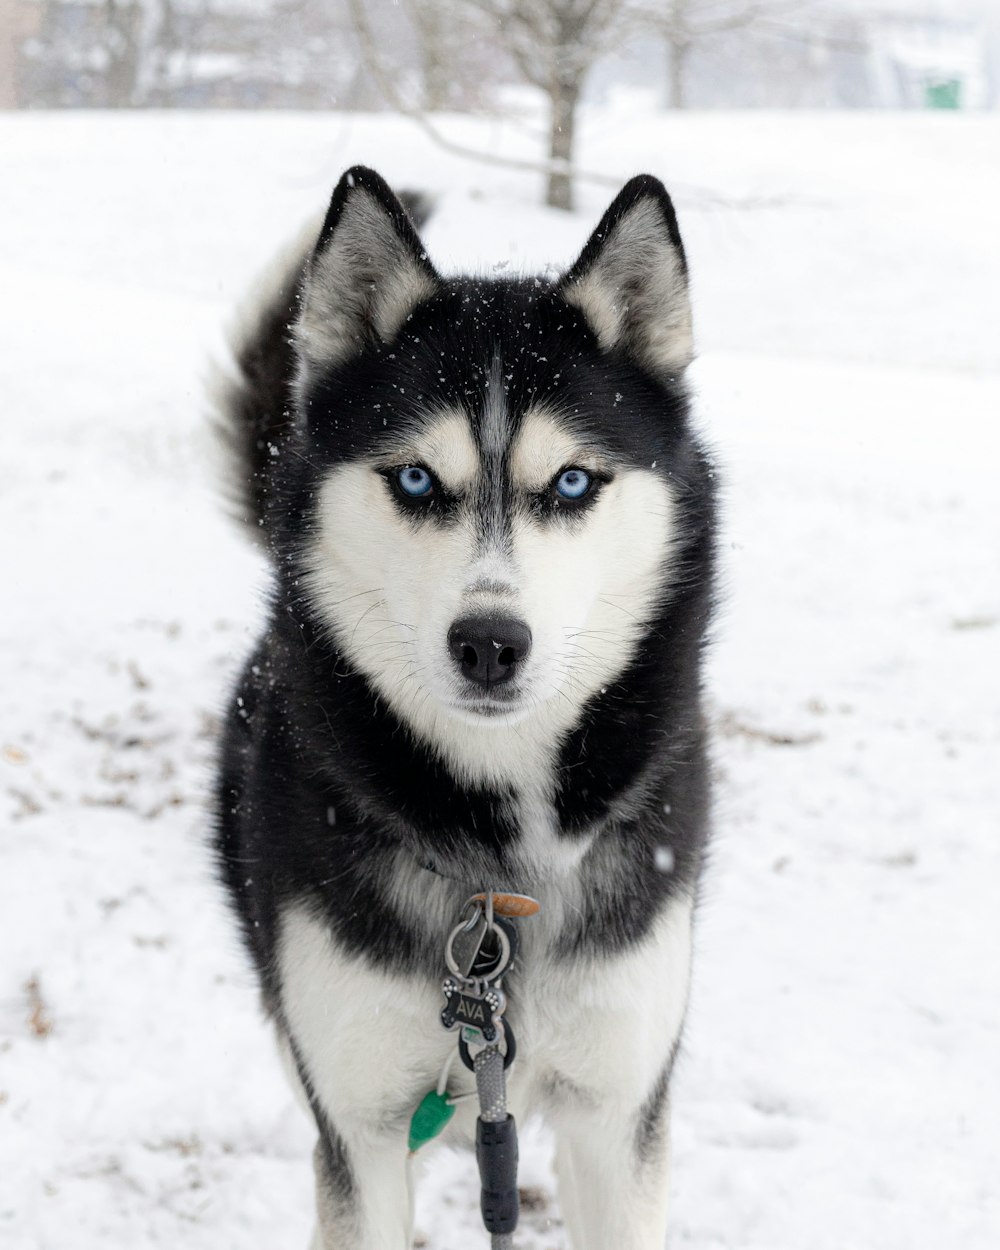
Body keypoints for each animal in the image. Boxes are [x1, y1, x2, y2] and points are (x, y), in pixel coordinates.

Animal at [215, 168, 715, 1250]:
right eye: (414, 477)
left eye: (570, 480)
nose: (489, 642)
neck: (498, 875)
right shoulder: (358, 1130)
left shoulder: (620, 1119)